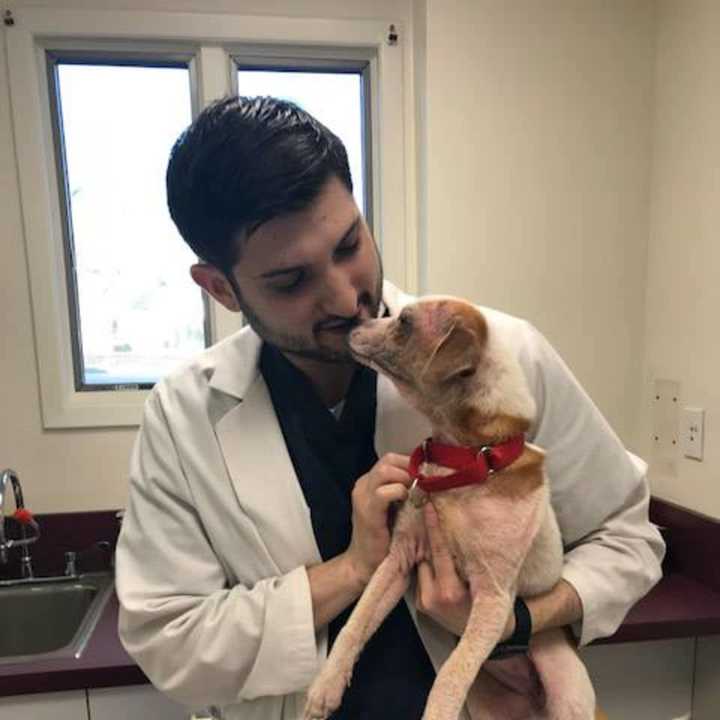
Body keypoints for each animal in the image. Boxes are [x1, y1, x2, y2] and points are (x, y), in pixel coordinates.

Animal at [304, 296, 596, 720]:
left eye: (404, 322)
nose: (350, 327)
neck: (468, 460)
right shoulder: (397, 561)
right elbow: (356, 622)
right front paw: (325, 687)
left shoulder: (494, 598)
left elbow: (452, 673)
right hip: (489, 704)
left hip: (567, 689)